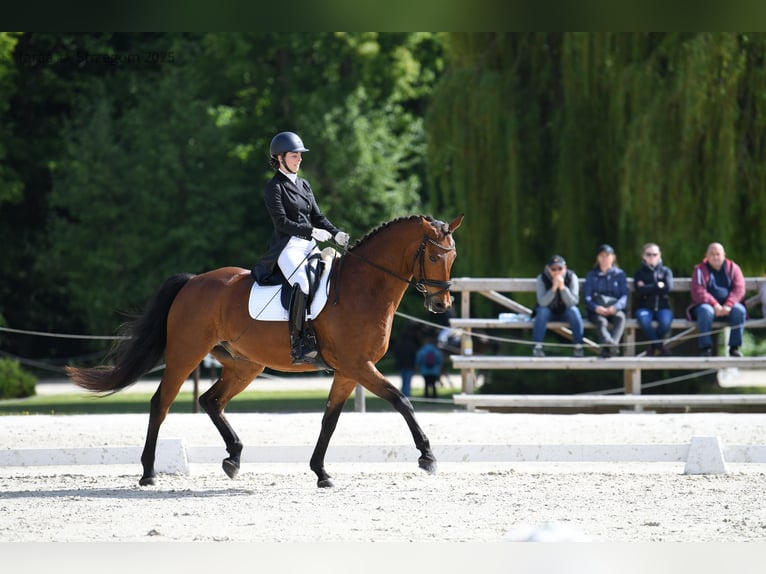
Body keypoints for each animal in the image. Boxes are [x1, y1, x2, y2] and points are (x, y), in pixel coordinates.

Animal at [66, 214, 464, 488]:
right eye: (432, 256)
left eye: (453, 256)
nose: (441, 305)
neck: (363, 288)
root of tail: (193, 281)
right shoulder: (359, 365)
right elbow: (402, 400)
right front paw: (427, 455)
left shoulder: (350, 370)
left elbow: (330, 419)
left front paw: (321, 472)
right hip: (186, 354)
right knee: (160, 404)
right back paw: (148, 472)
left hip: (245, 365)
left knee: (211, 401)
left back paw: (233, 458)